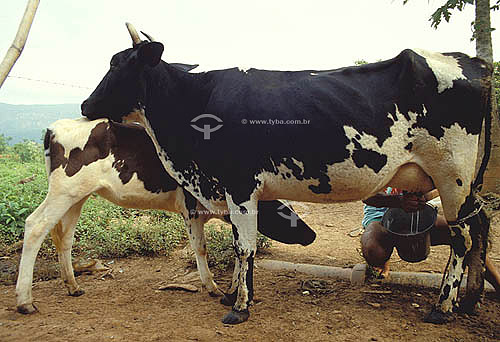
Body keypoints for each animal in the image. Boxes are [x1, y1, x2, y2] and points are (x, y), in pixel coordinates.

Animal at [15, 117, 314, 316]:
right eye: (284, 210)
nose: (311, 234)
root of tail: (55, 127)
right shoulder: (192, 208)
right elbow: (201, 248)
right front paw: (213, 287)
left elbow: (238, 248)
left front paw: (233, 291)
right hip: (64, 191)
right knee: (35, 225)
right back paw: (24, 301)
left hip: (77, 196)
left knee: (64, 236)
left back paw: (73, 285)